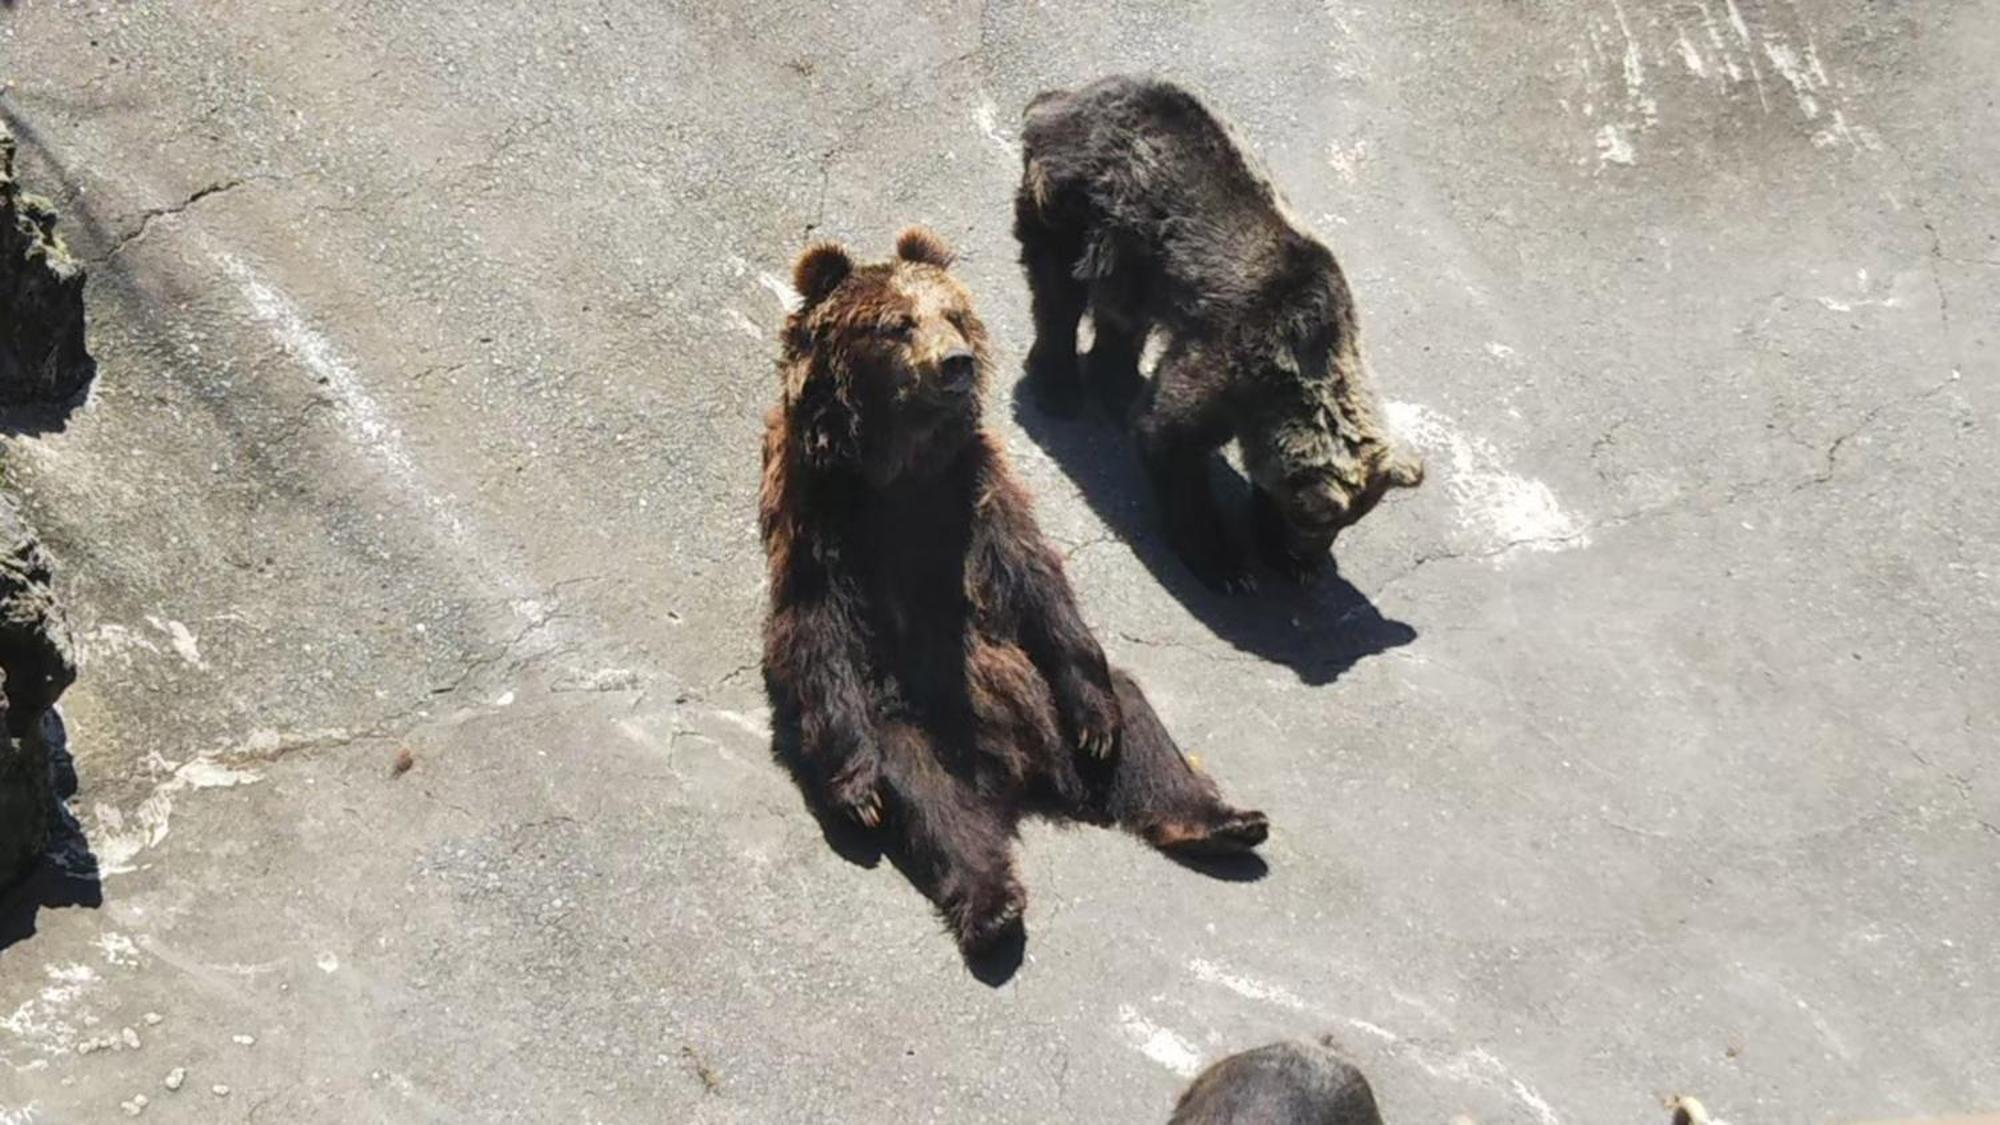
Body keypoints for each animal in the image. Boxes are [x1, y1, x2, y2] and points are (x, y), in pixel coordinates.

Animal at [760, 225, 1264, 952]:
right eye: (898, 324)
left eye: (952, 313)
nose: (957, 361)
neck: (900, 465)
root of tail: (1022, 772)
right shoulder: (821, 512)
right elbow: (812, 628)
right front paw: (855, 789)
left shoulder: (976, 490)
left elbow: (1035, 576)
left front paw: (1103, 725)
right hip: (913, 722)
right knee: (935, 802)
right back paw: (992, 909)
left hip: (1046, 686)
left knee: (1133, 713)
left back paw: (1220, 819)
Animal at [1016, 75, 1424, 592]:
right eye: (1312, 519)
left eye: (1347, 521)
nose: (1307, 554)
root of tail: (1065, 99)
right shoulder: (1232, 354)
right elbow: (1170, 434)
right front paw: (1224, 561)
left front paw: (1281, 556)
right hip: (1077, 203)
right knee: (1058, 291)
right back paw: (1059, 384)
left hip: (1134, 255)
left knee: (1122, 316)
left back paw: (1117, 381)